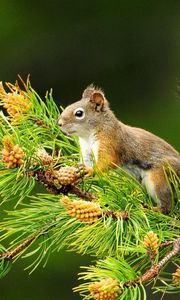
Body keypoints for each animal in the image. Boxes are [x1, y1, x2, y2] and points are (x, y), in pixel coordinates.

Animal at [58, 85, 180, 214]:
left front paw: (90, 170)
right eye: (67, 107)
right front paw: (75, 176)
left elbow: (108, 160)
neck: (88, 136)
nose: (59, 123)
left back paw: (154, 209)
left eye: (79, 113)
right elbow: (86, 162)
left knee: (167, 204)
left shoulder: (109, 141)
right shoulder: (86, 151)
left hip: (160, 176)